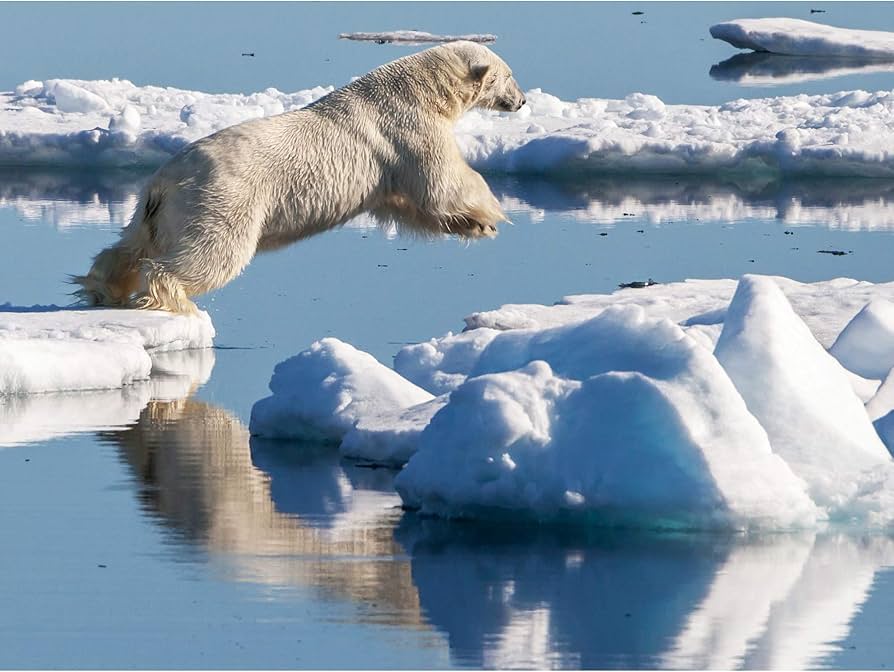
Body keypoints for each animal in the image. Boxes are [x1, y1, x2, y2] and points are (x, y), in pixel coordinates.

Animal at [73, 41, 526, 313]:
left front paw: (474, 226)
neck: (416, 89)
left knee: (132, 244)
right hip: (221, 198)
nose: (522, 101)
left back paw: (102, 288)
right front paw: (492, 213)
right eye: (509, 76)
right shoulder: (406, 128)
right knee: (209, 254)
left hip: (157, 208)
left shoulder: (387, 166)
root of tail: (163, 181)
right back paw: (176, 299)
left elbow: (406, 205)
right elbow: (441, 182)